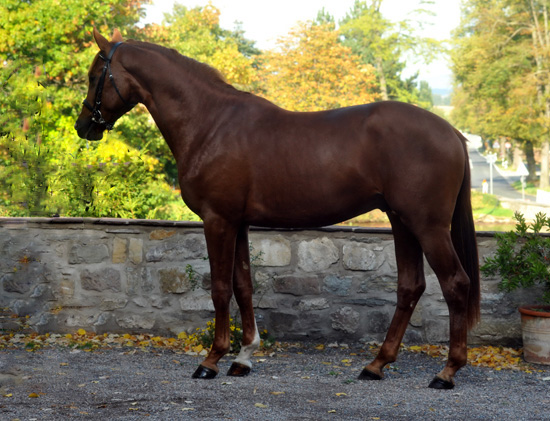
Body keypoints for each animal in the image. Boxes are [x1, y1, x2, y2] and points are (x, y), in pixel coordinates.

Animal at [75, 29, 480, 388]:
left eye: (95, 75)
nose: (83, 126)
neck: (211, 123)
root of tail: (453, 133)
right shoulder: (238, 223)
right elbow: (243, 286)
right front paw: (243, 357)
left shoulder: (217, 221)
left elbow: (219, 289)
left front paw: (211, 360)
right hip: (402, 222)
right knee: (410, 287)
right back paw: (376, 365)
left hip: (428, 226)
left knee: (456, 284)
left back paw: (446, 372)